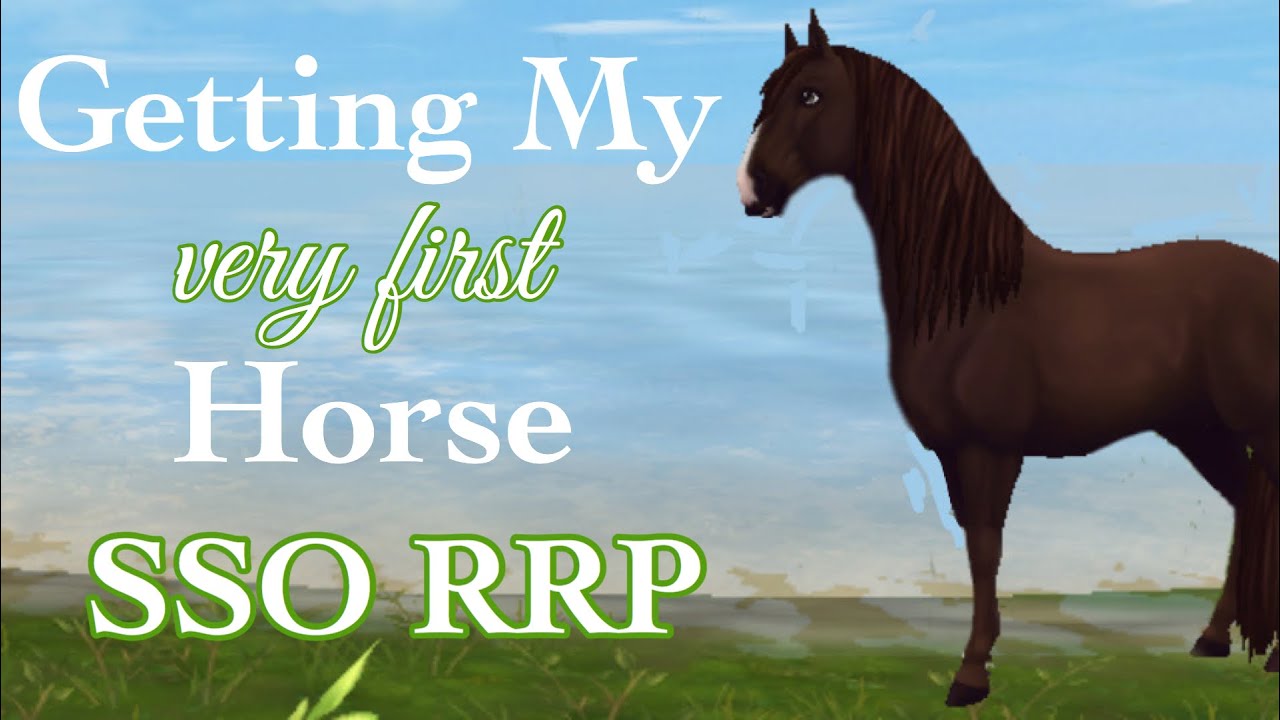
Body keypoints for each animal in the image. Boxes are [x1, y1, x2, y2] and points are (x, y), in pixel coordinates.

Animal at [738, 10, 1279, 707]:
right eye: (765, 94)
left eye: (810, 96)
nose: (752, 189)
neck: (970, 298)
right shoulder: (951, 450)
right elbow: (975, 545)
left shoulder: (990, 447)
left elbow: (985, 550)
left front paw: (970, 675)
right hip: (1198, 429)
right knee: (1246, 507)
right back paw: (1211, 640)